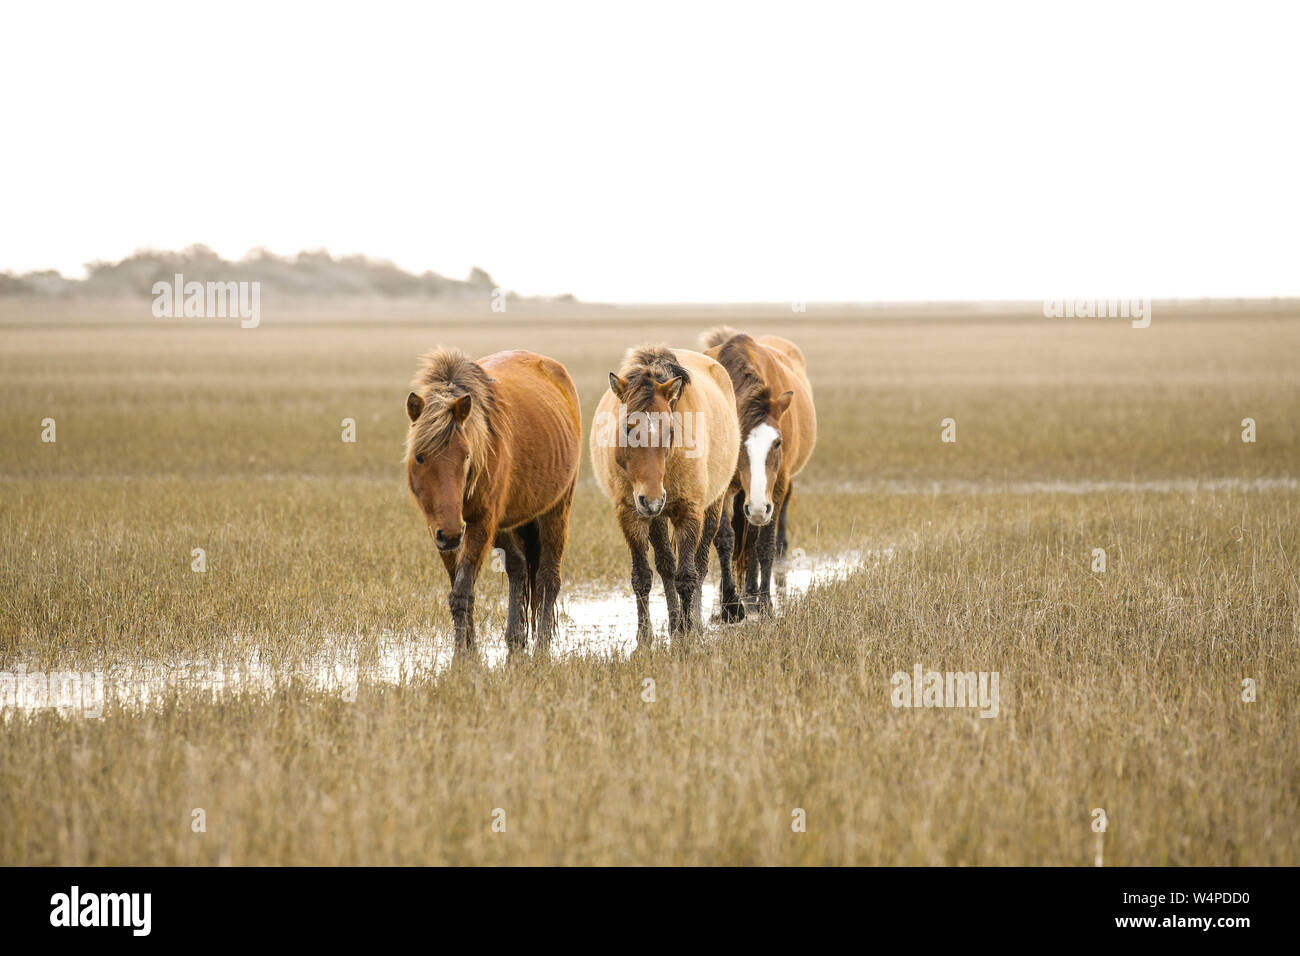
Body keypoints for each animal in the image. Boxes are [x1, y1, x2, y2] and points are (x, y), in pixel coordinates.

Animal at [403, 348, 582, 655]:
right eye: (420, 457)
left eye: (465, 455)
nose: (451, 533)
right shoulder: (439, 531)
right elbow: (459, 585)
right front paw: (470, 646)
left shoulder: (480, 524)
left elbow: (462, 592)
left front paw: (462, 655)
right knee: (518, 566)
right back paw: (515, 638)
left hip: (556, 510)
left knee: (548, 578)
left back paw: (542, 646)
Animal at [592, 348, 738, 647]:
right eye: (627, 428)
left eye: (670, 430)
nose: (652, 500)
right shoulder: (631, 514)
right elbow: (643, 576)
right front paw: (645, 637)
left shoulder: (689, 512)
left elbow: (688, 575)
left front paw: (688, 632)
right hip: (656, 517)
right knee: (666, 565)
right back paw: (674, 623)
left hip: (712, 507)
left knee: (701, 563)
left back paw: (693, 623)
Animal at [702, 325, 811, 616]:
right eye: (738, 442)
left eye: (778, 442)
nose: (760, 507)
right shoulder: (726, 488)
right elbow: (725, 538)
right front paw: (730, 605)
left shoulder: (778, 485)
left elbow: (764, 543)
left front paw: (764, 602)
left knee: (753, 538)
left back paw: (752, 594)